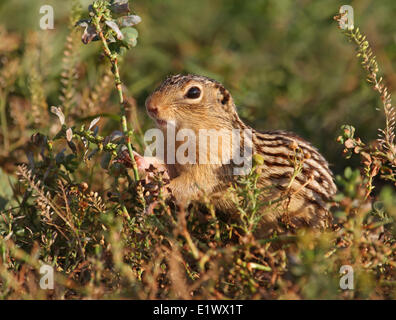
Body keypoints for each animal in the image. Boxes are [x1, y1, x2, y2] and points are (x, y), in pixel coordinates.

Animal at [130, 74, 338, 234]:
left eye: (194, 92)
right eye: (165, 80)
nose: (150, 105)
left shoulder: (214, 169)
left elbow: (190, 184)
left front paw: (161, 191)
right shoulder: (175, 161)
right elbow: (164, 168)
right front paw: (136, 158)